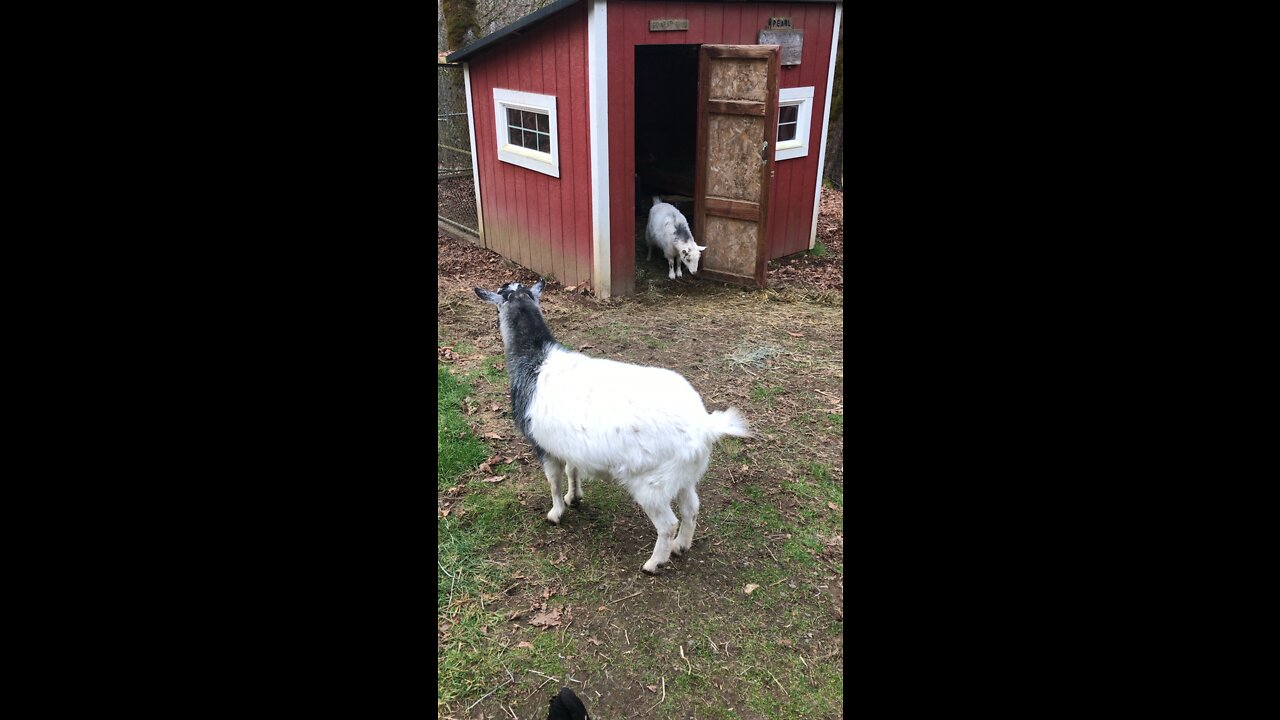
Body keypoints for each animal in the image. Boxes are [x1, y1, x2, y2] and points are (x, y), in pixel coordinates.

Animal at [473, 275, 747, 571]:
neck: (534, 359)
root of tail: (704, 426)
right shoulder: (569, 445)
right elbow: (572, 470)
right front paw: (574, 497)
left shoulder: (542, 446)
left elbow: (554, 480)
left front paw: (556, 512)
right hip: (684, 474)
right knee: (691, 508)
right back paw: (680, 546)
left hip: (652, 485)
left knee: (667, 523)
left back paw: (654, 563)